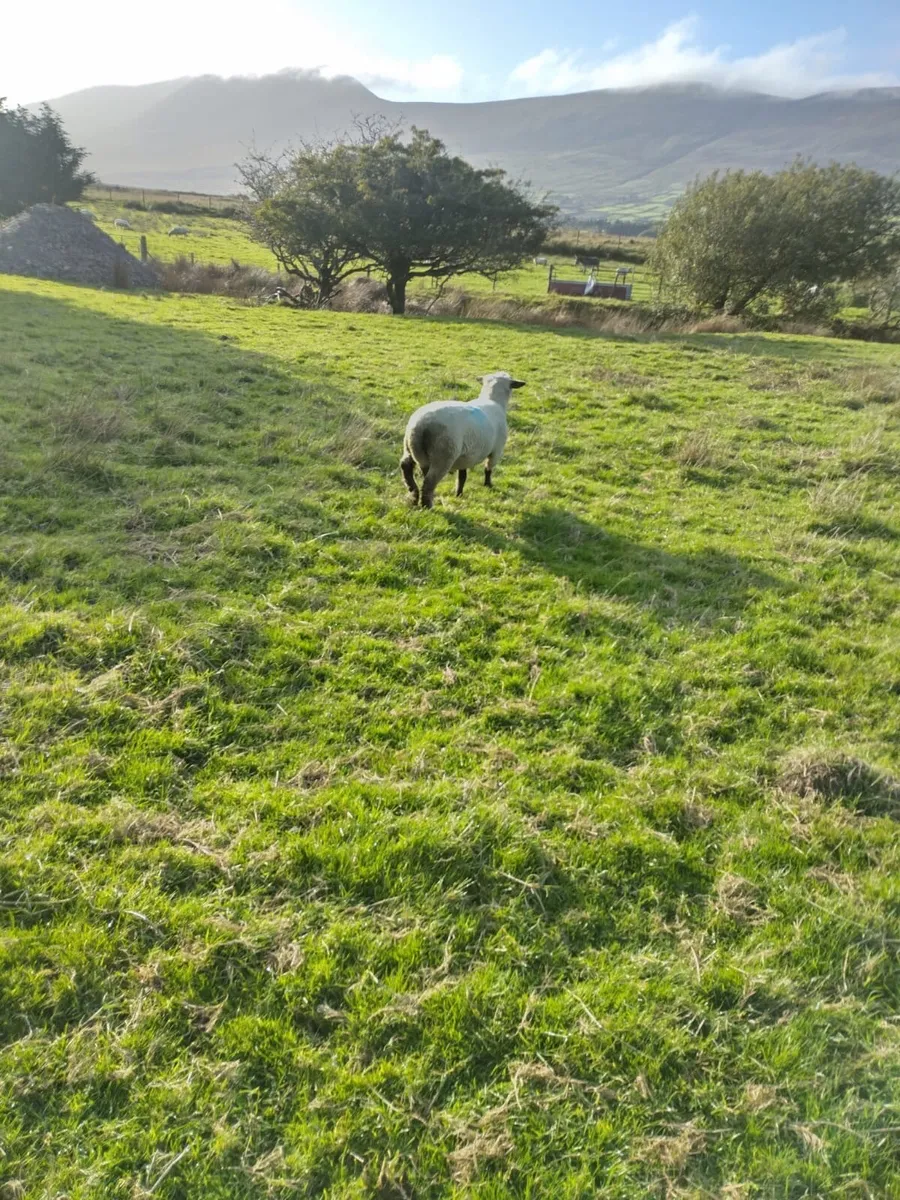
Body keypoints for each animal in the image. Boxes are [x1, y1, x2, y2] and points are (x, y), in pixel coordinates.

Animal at [400, 371, 525, 509]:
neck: (493, 400)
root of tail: (420, 425)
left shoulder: (465, 456)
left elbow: (462, 476)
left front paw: (459, 494)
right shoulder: (496, 451)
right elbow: (488, 469)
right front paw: (488, 485)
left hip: (409, 446)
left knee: (406, 466)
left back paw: (413, 495)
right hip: (443, 455)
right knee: (428, 482)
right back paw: (427, 506)